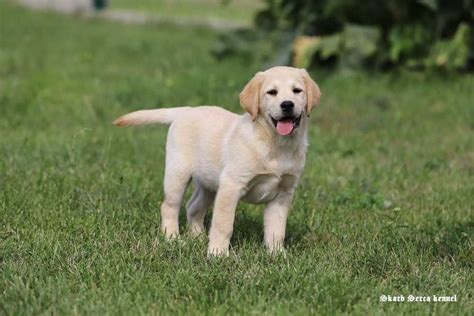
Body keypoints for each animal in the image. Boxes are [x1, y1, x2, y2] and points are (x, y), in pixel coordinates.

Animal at [114, 65, 320, 256]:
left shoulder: (283, 193)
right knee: (169, 206)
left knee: (193, 207)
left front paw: (277, 254)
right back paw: (172, 238)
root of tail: (186, 110)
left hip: (209, 183)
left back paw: (197, 237)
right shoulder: (231, 185)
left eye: (297, 91)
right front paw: (218, 254)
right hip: (178, 173)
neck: (276, 144)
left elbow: (276, 228)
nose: (287, 104)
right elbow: (224, 223)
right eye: (272, 92)